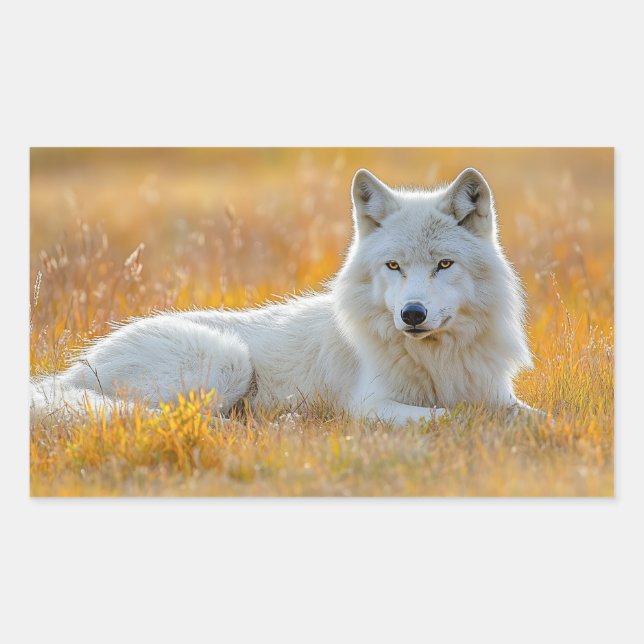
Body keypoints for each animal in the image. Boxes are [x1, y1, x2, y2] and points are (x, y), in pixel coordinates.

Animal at [31, 167, 533, 426]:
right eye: (394, 267)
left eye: (443, 265)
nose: (412, 314)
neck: (437, 359)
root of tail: (73, 371)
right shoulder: (369, 405)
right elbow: (451, 416)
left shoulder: (497, 394)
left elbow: (531, 416)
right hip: (227, 360)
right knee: (154, 416)